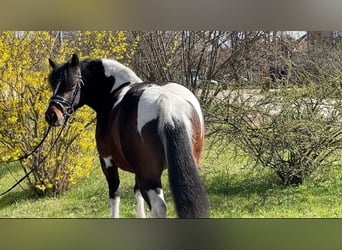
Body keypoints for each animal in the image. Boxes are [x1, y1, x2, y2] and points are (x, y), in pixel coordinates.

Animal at [44, 53, 207, 218]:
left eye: (71, 84)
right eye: (52, 85)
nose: (52, 115)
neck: (113, 92)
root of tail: (165, 101)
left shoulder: (107, 161)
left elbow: (114, 194)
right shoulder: (137, 171)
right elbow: (137, 194)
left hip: (149, 175)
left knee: (158, 207)